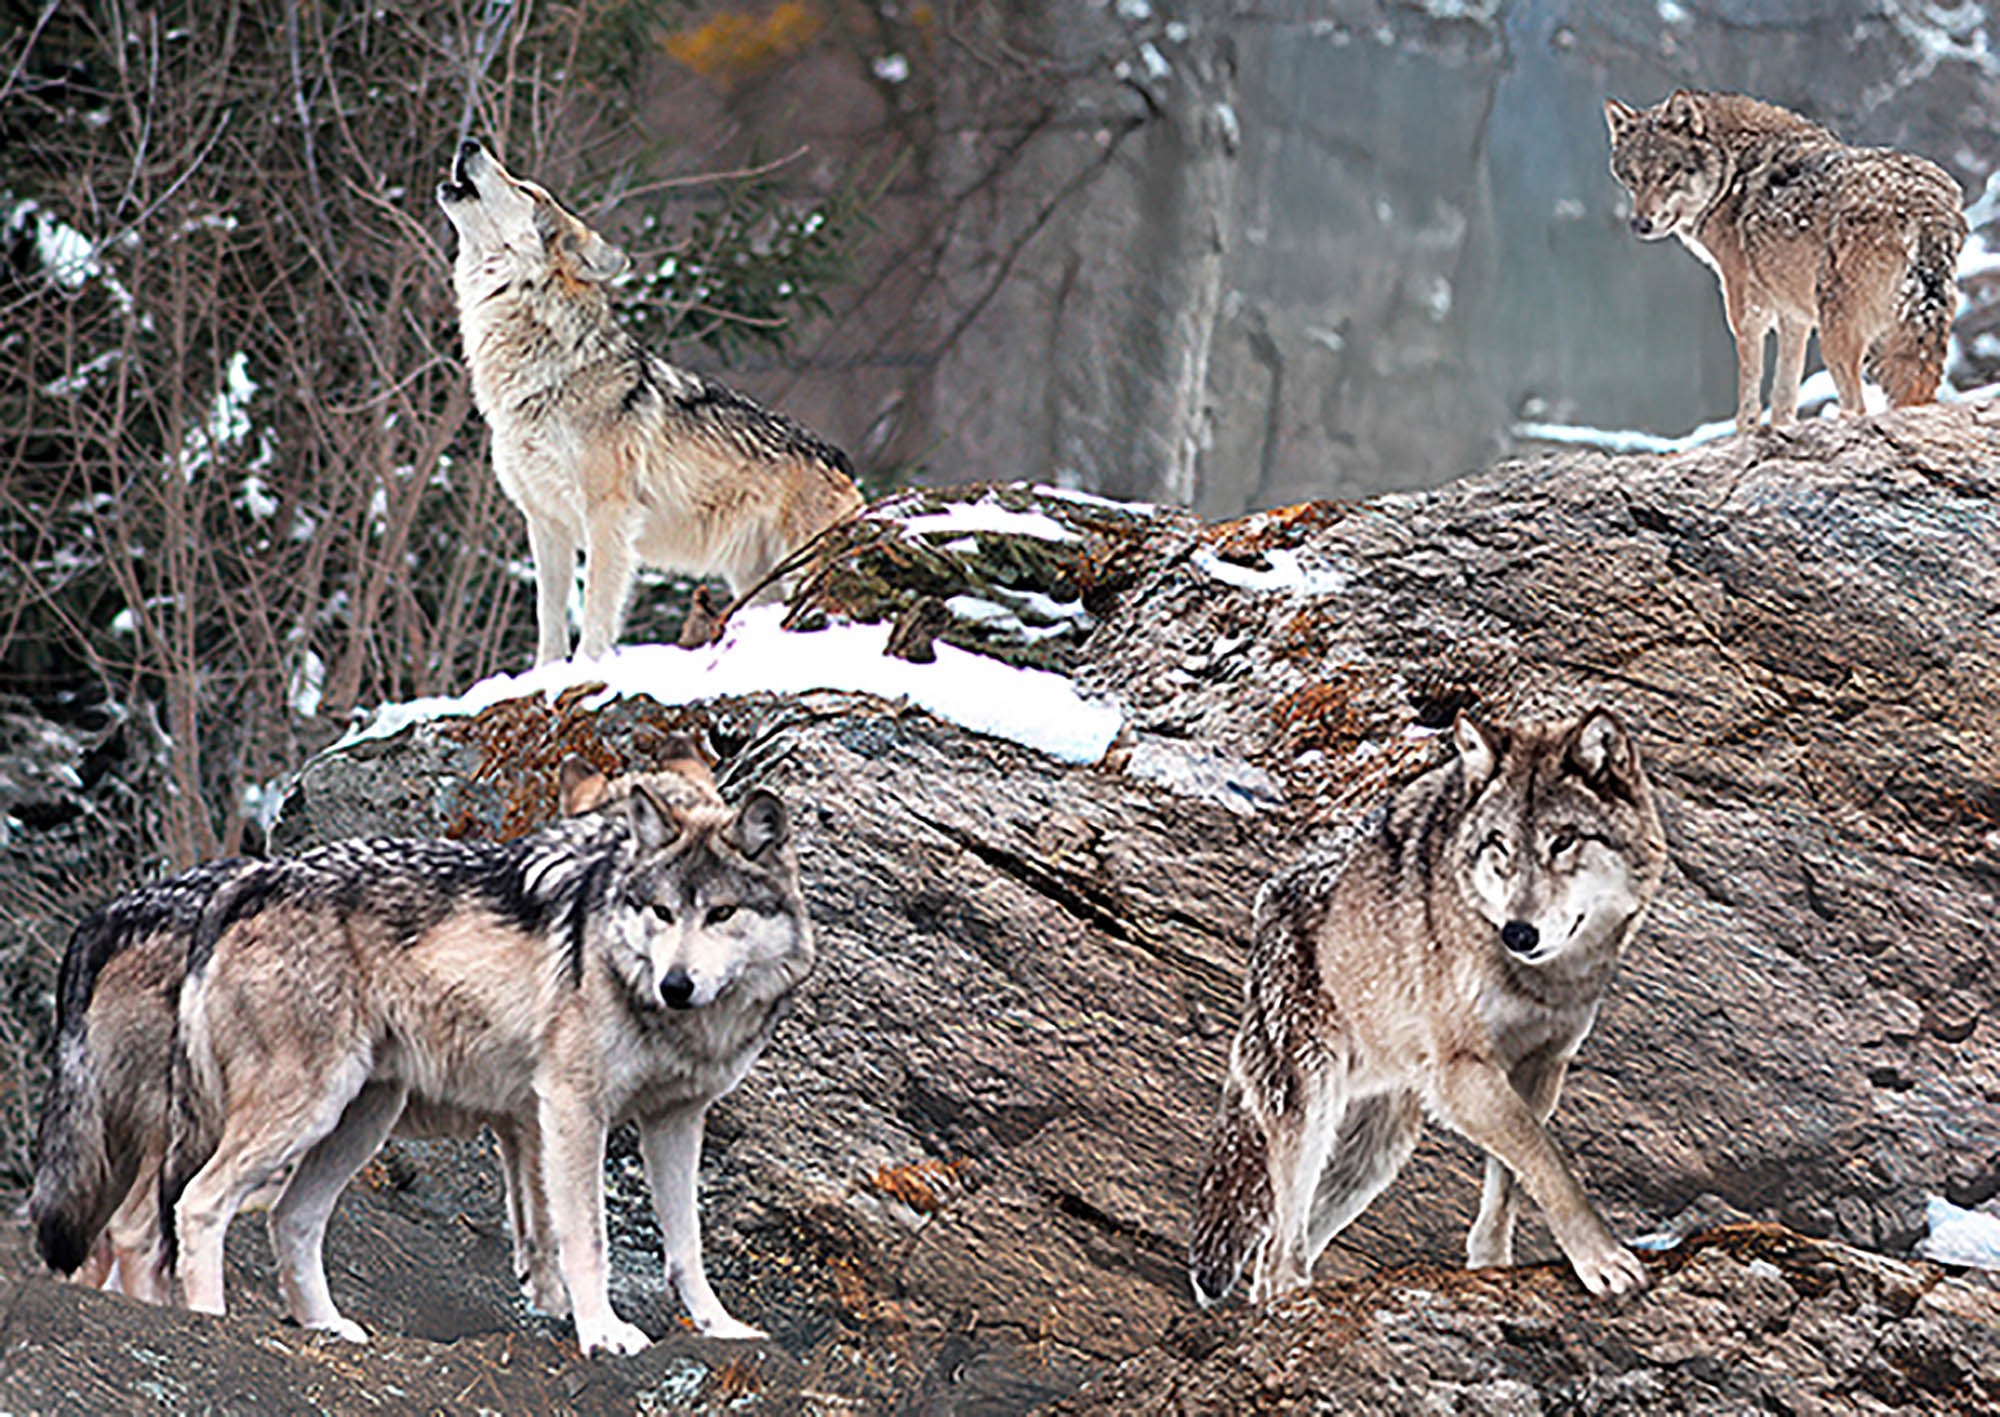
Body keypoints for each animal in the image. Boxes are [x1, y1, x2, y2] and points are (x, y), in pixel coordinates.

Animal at [158, 751, 813, 1355]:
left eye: (720, 913)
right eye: (663, 912)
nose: (675, 985)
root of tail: (248, 882)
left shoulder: (675, 1120)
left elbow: (685, 1246)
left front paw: (721, 1327)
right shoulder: (572, 1108)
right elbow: (585, 1237)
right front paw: (602, 1334)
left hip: (361, 1120)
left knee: (290, 1218)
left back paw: (329, 1327)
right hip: (308, 1110)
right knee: (200, 1203)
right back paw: (210, 1322)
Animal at [437, 140, 864, 664]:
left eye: (524, 188)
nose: (469, 143)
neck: (543, 373)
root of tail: (841, 460)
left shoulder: (607, 514)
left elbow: (597, 609)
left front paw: (588, 667)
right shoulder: (544, 521)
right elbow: (549, 617)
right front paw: (548, 671)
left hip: (800, 565)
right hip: (755, 581)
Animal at [1188, 708, 1668, 1307]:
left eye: (1562, 841)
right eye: (1499, 845)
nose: (1518, 933)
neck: (1546, 980)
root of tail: (1267, 898)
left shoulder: (1540, 1069)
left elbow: (1511, 1180)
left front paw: (1491, 1266)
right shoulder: (1462, 1075)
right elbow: (1547, 1163)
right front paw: (1603, 1260)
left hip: (1375, 1158)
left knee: (1272, 1254)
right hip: (1313, 1112)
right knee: (1278, 1251)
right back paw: (1293, 1302)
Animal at [1604, 90, 1965, 433]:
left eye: (1668, 174)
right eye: (1632, 178)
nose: (1640, 224)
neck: (1729, 173)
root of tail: (1923, 205)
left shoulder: (1748, 311)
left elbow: (1750, 393)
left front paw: (1747, 433)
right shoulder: (1794, 314)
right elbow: (1783, 395)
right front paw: (1782, 429)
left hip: (1837, 331)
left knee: (1857, 406)